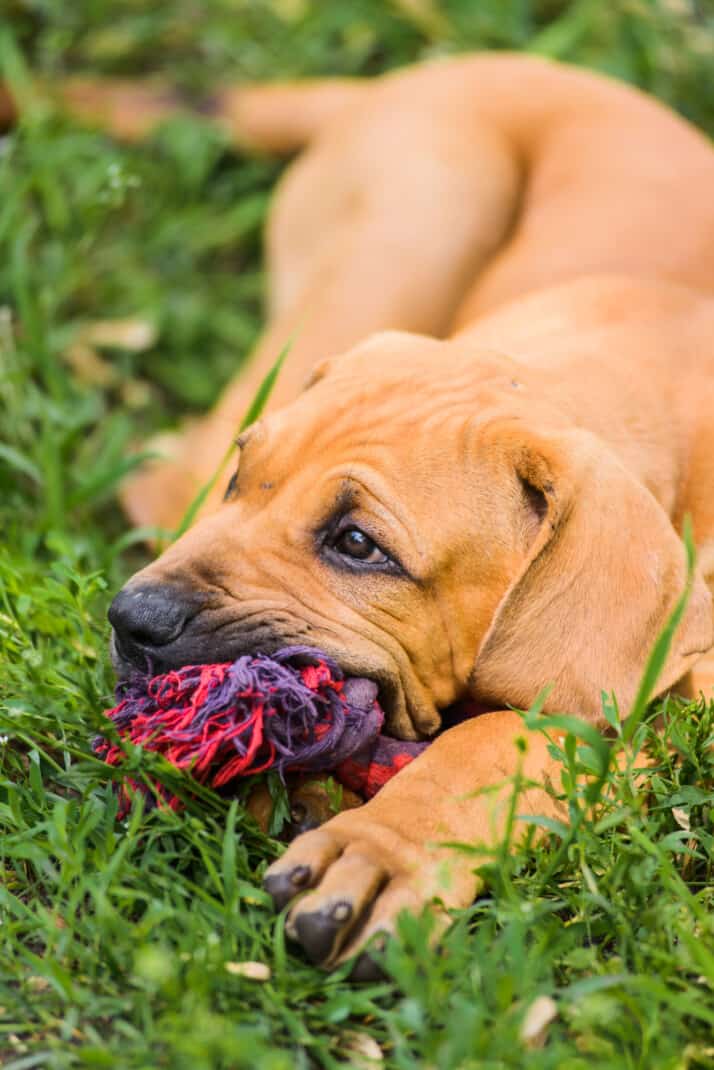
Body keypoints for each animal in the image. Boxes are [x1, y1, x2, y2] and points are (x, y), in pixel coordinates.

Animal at [40, 54, 714, 975]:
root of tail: (420, 75)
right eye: (246, 478)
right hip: (423, 218)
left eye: (359, 544)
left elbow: (495, 740)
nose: (130, 619)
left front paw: (379, 849)